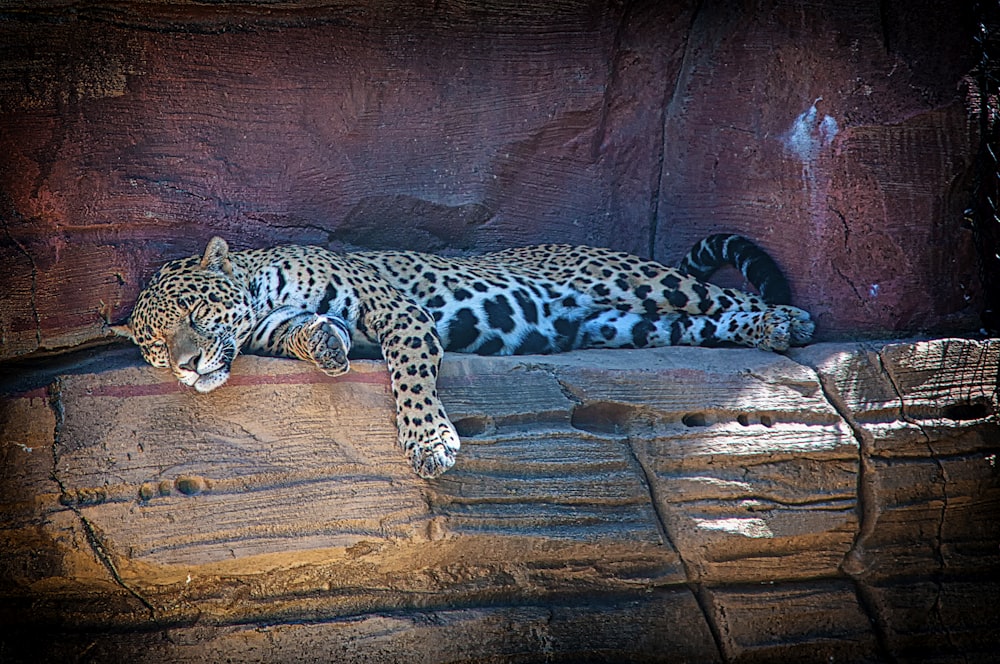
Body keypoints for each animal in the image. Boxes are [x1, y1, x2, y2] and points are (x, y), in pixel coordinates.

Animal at [115, 233, 812, 478]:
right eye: (154, 349)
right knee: (705, 322)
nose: (185, 368)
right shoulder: (278, 327)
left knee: (722, 294)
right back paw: (769, 330)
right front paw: (328, 345)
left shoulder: (399, 314)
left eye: (192, 316)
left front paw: (429, 442)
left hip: (632, 280)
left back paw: (789, 319)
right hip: (629, 326)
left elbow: (409, 375)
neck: (262, 292)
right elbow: (308, 333)